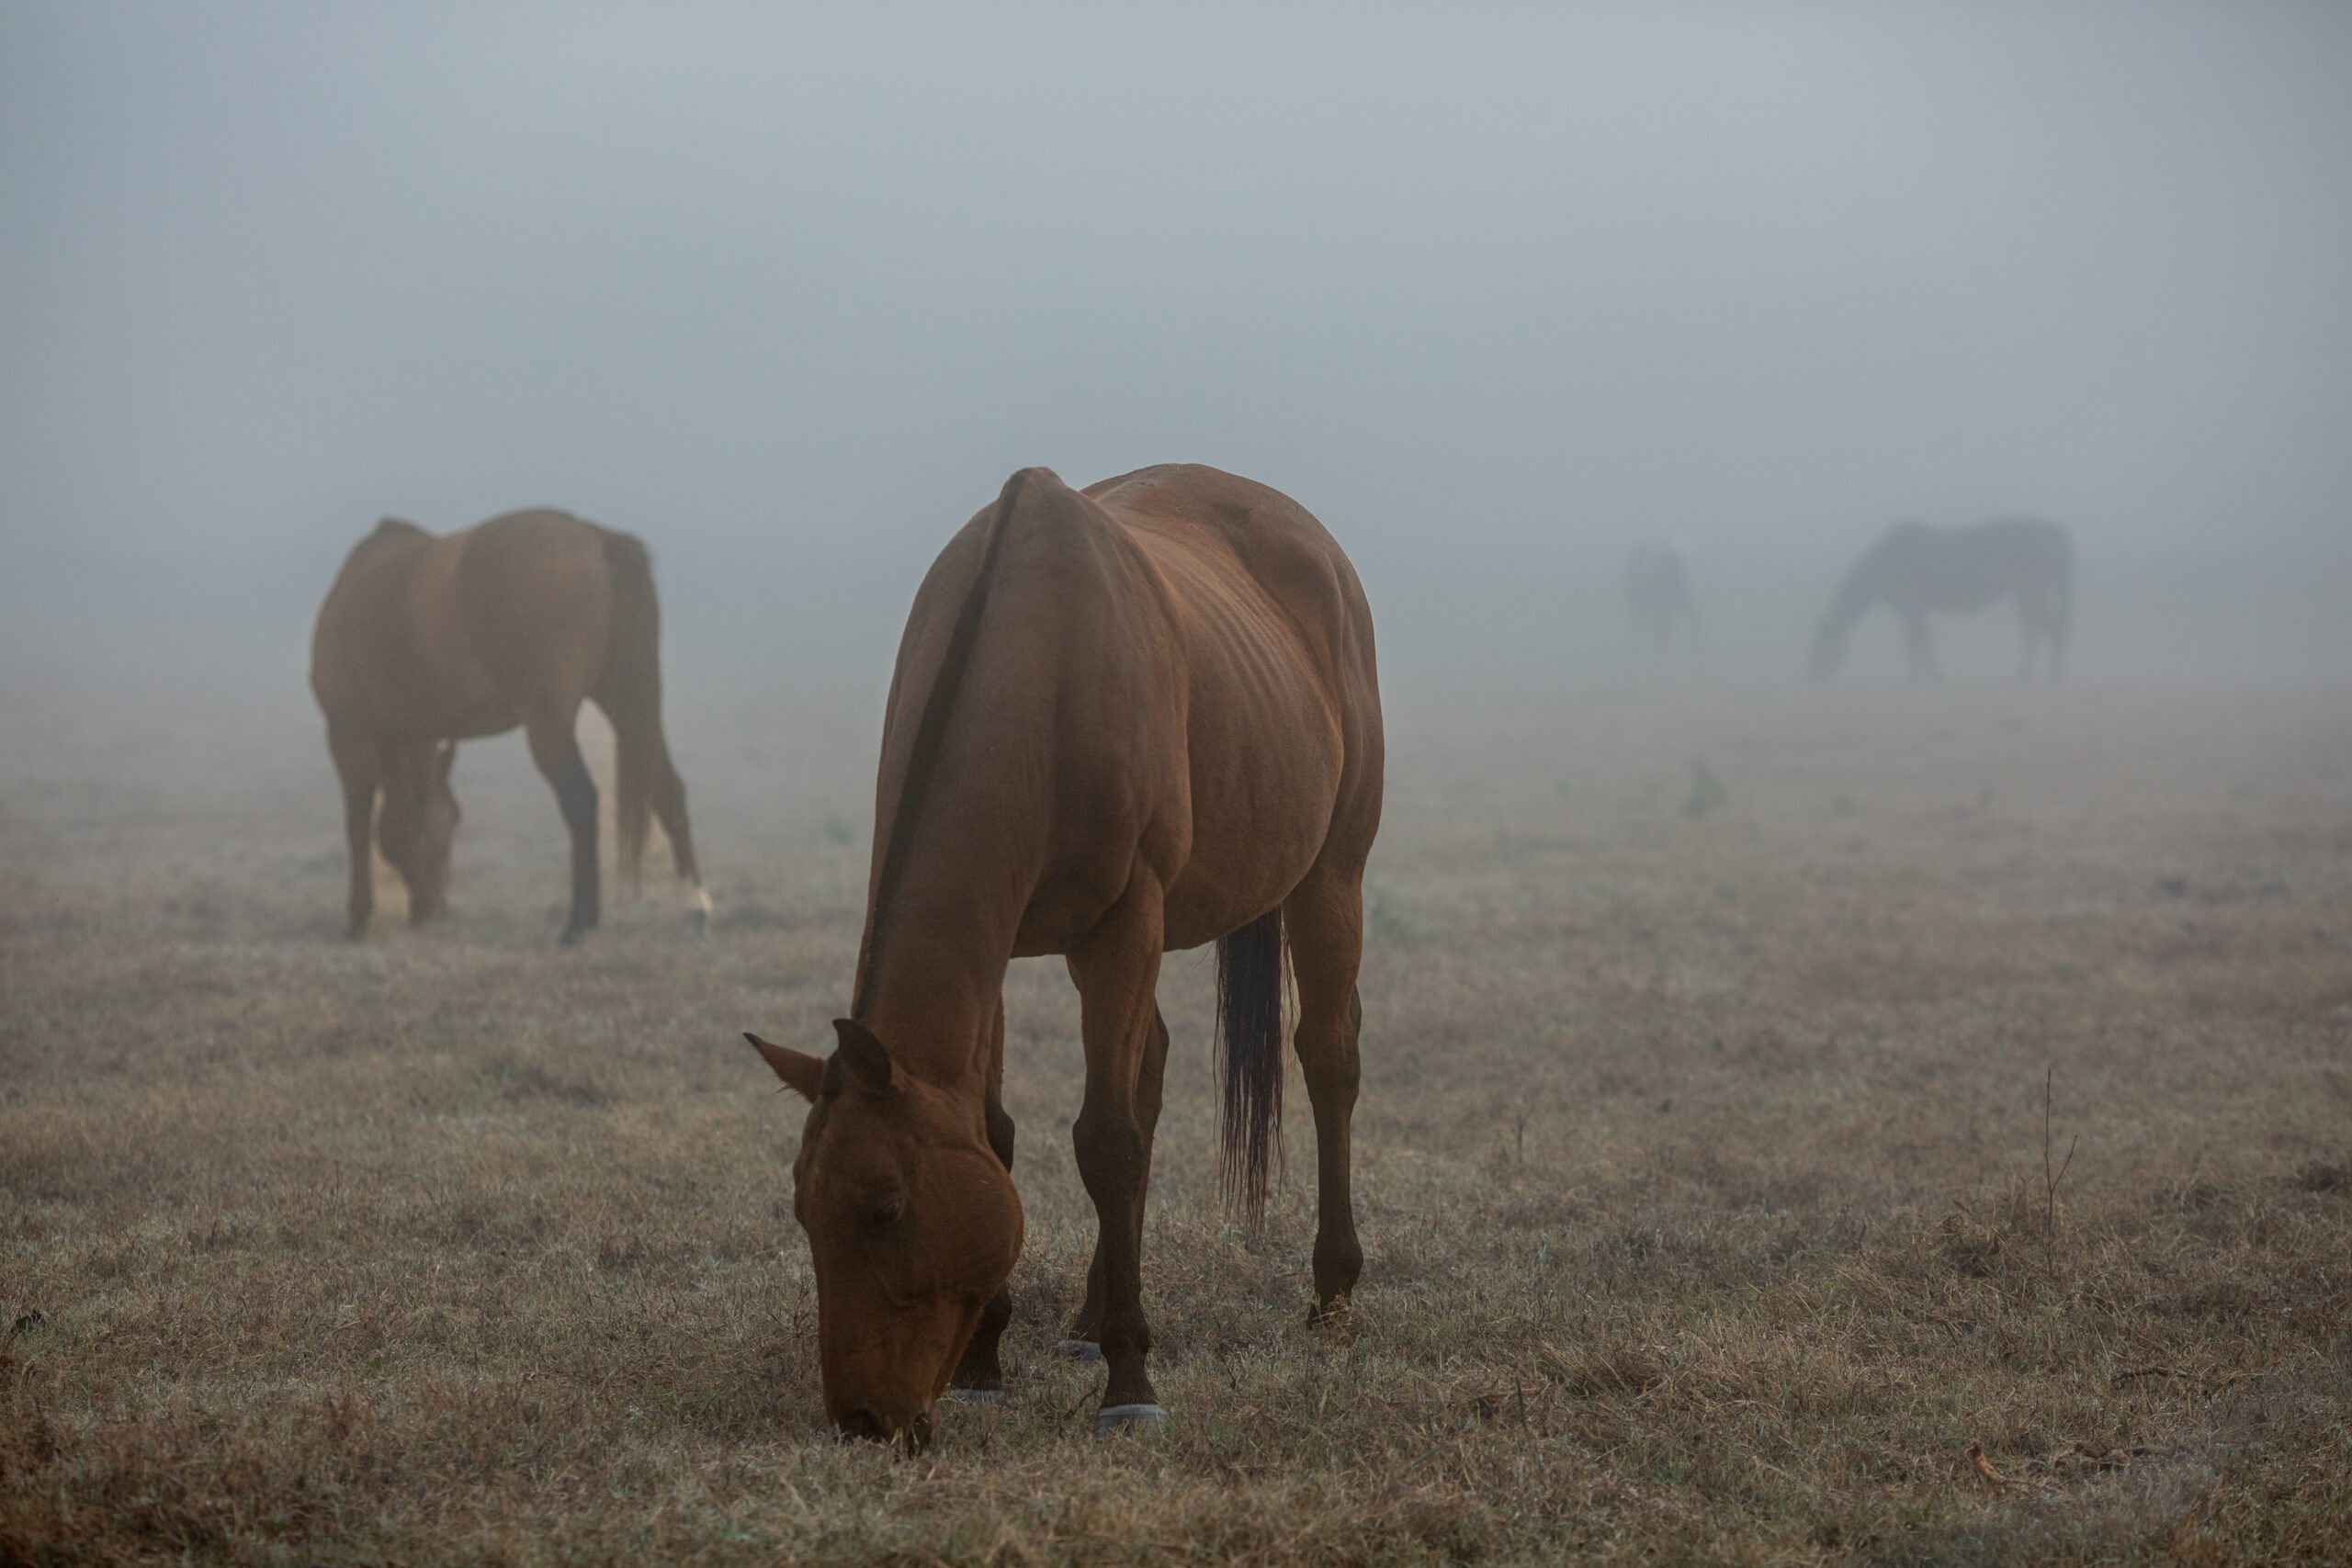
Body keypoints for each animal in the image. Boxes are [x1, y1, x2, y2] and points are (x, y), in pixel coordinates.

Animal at [309, 509, 706, 943]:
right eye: (454, 823)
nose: (440, 905)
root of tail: (598, 539)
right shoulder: (415, 732)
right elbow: (408, 815)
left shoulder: (350, 729)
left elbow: (366, 819)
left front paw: (360, 914)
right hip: (625, 706)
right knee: (669, 791)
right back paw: (695, 909)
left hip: (550, 723)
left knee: (581, 800)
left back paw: (578, 921)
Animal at [745, 464, 1383, 1451]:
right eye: (802, 1210)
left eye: (886, 1208)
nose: (862, 1419)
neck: (1039, 674)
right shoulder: (998, 945)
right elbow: (999, 1132)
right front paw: (985, 1361)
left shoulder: (1123, 925)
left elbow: (1106, 1139)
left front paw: (1131, 1380)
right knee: (1153, 1067)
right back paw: (1086, 1316)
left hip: (1331, 873)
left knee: (1327, 1056)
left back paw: (1332, 1299)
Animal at [1809, 518, 2073, 683]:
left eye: (1820, 644)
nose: (1810, 676)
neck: (1885, 562)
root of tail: (2053, 533)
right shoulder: (1915, 609)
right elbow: (1923, 640)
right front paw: (1930, 676)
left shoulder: (1912, 607)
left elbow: (1917, 642)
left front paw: (1918, 678)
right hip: (2024, 593)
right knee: (2037, 631)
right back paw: (2029, 675)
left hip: (2030, 591)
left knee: (2050, 628)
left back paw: (2051, 675)